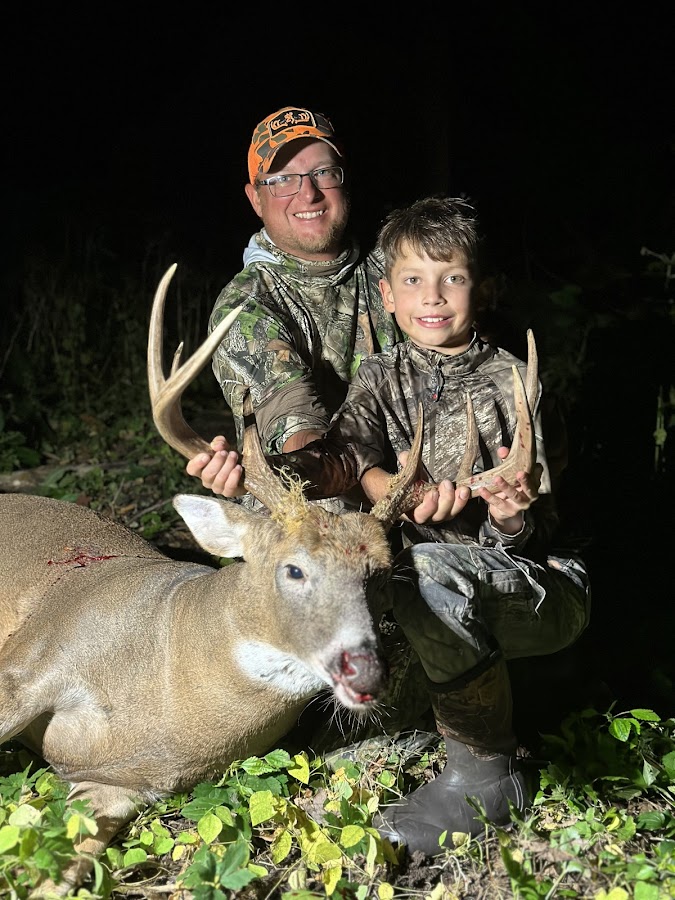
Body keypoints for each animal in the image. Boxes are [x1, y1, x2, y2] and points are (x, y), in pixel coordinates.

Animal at [0, 263, 537, 895]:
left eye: (381, 575)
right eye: (294, 567)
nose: (365, 669)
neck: (163, 684)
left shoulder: (117, 788)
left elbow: (58, 874)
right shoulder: (34, 657)